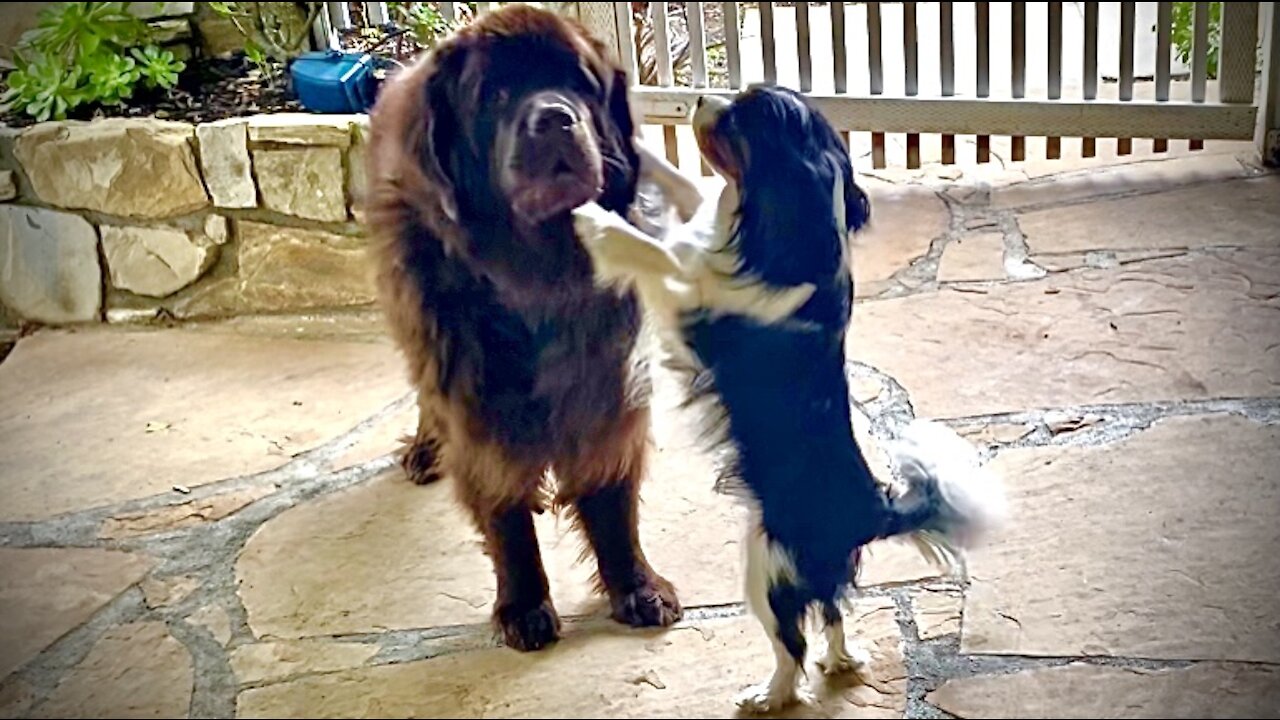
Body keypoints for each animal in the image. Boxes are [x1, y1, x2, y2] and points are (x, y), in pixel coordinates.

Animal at [363, 1, 680, 650]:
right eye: (496, 94)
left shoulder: (610, 383)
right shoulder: (478, 405)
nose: (555, 118)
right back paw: (425, 450)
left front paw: (635, 586)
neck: (541, 277)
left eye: (579, 83)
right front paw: (524, 605)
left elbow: (613, 498)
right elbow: (505, 513)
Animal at [576, 87, 1003, 707]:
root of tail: (870, 509)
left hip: (765, 565)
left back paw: (768, 695)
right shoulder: (702, 230)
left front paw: (594, 221)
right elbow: (681, 187)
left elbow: (652, 251)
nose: (700, 96)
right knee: (833, 610)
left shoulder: (686, 297)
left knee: (792, 643)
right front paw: (634, 140)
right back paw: (842, 660)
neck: (780, 232)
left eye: (742, 117)